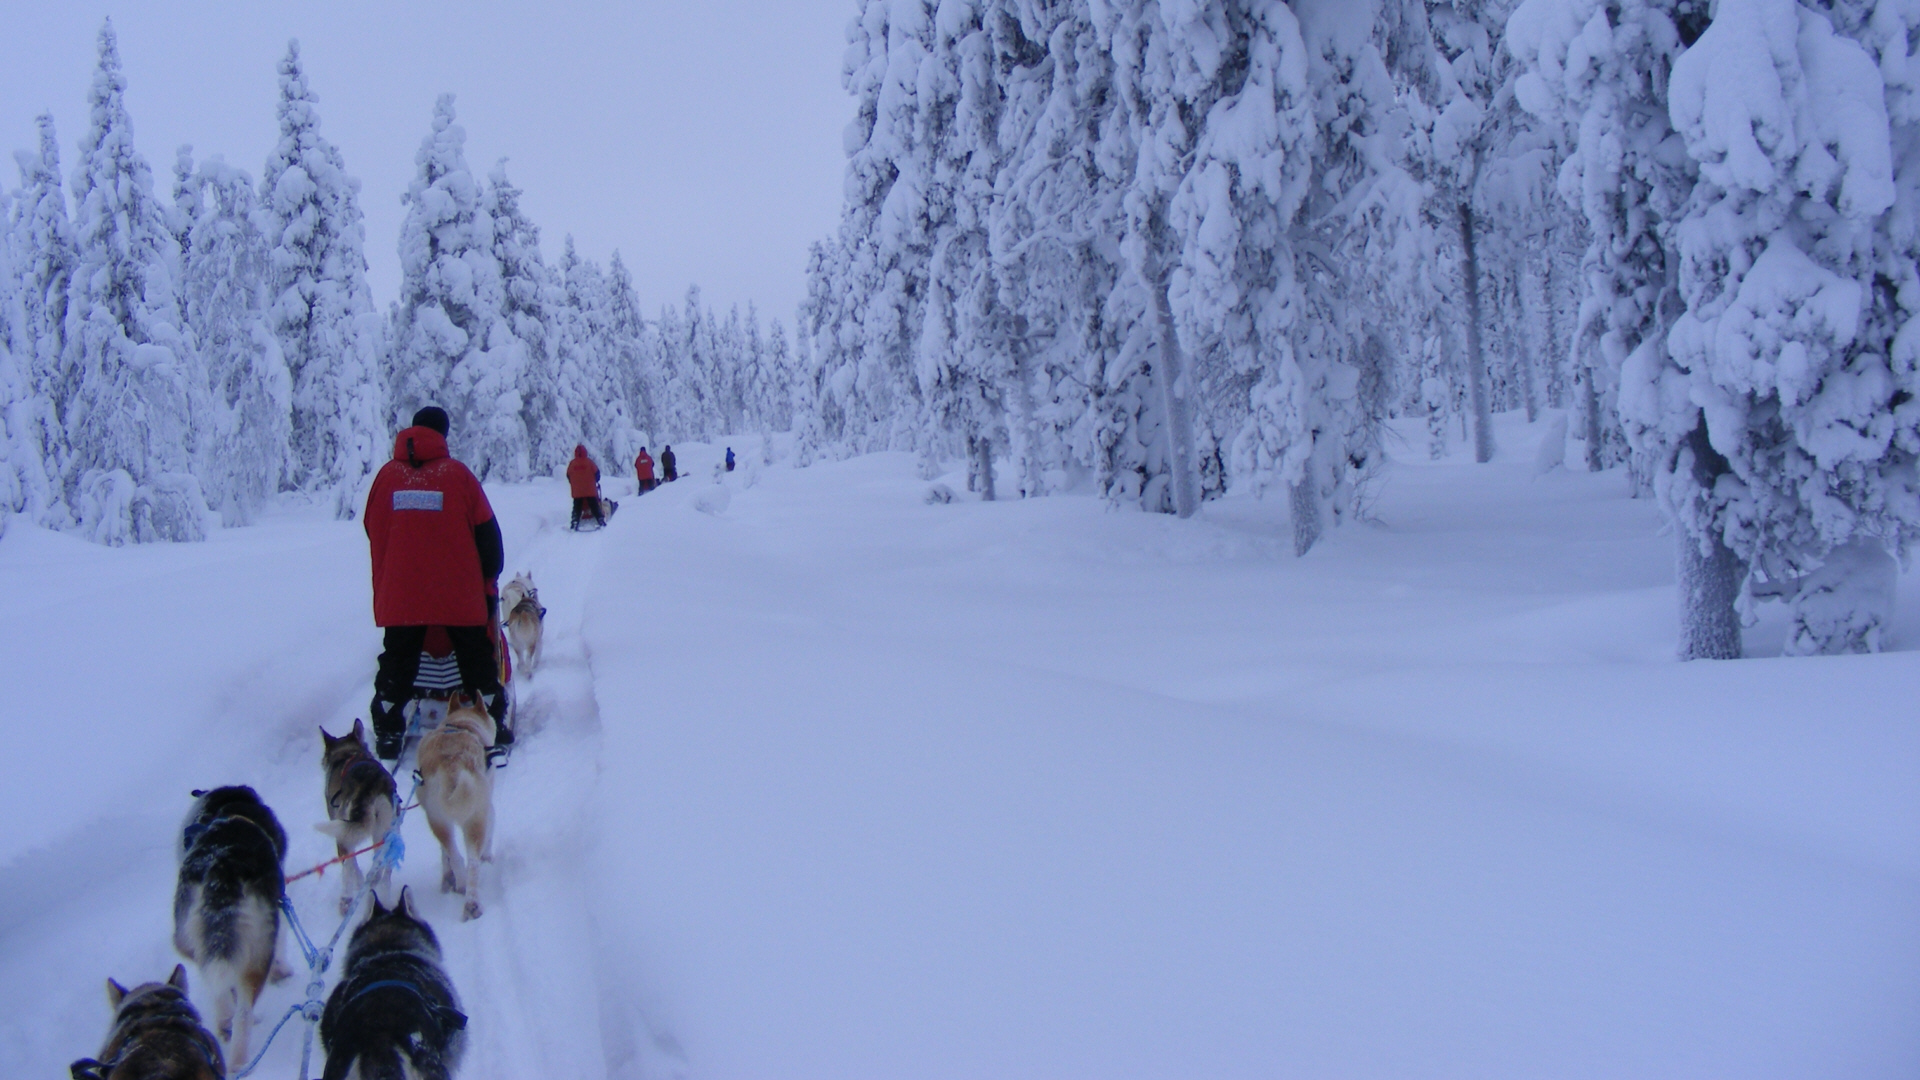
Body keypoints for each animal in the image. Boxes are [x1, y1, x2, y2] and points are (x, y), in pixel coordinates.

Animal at [173, 780, 286, 1068]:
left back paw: (224, 1022)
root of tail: (221, 866)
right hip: (258, 953)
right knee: (243, 1011)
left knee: (219, 989)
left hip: (190, 939)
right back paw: (240, 1059)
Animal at [314, 718, 397, 910]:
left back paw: (347, 898)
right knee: (383, 872)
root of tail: (372, 785)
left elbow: (351, 867)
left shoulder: (342, 833)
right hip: (388, 832)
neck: (348, 754)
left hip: (344, 831)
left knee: (349, 867)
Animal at [418, 687, 495, 914]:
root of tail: (451, 766)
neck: (460, 723)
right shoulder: (488, 803)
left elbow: (445, 854)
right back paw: (471, 901)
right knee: (473, 861)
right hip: (475, 818)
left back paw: (461, 887)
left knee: (455, 855)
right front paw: (488, 855)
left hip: (437, 819)